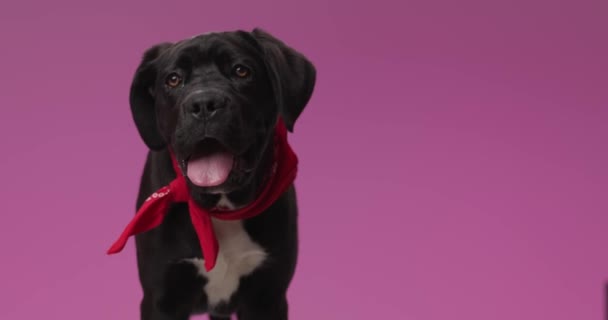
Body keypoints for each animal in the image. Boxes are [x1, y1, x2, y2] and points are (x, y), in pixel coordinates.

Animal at [127, 28, 318, 318]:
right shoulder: (161, 298)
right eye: (173, 79)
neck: (222, 208)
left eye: (241, 71)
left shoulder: (268, 296)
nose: (204, 103)